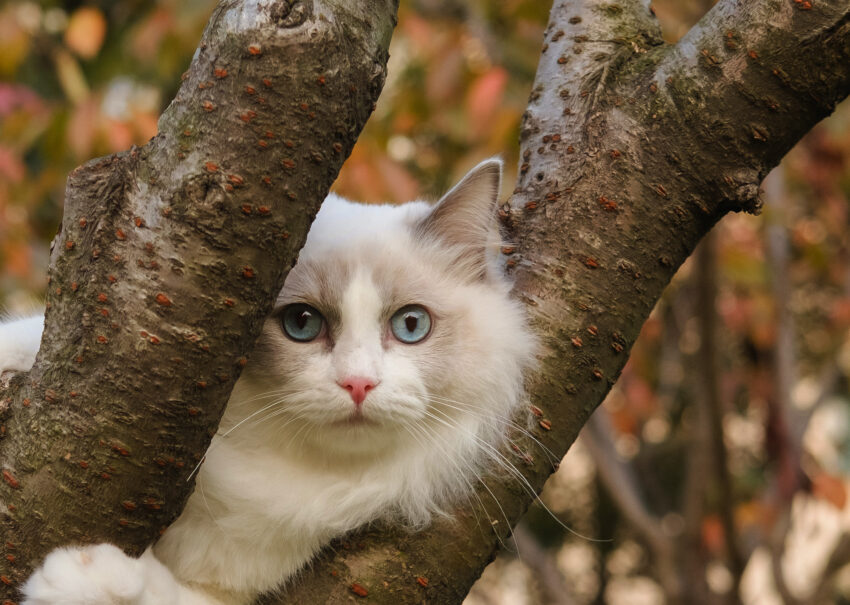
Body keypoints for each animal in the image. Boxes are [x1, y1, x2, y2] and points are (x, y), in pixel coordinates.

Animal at [4, 159, 536, 604]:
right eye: (301, 323)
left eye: (410, 325)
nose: (358, 384)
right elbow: (23, 343)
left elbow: (167, 595)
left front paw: (86, 575)